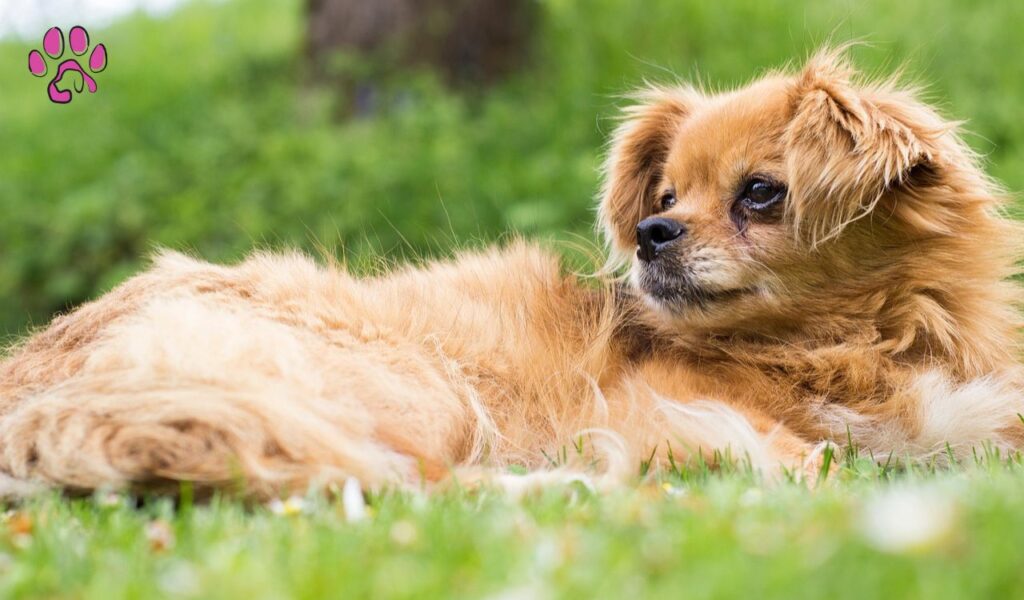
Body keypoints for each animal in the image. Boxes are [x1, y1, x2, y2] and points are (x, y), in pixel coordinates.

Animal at [2, 49, 1024, 493]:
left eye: (761, 194)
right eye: (667, 192)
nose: (652, 231)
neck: (862, 343)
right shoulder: (660, 411)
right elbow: (811, 456)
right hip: (423, 388)